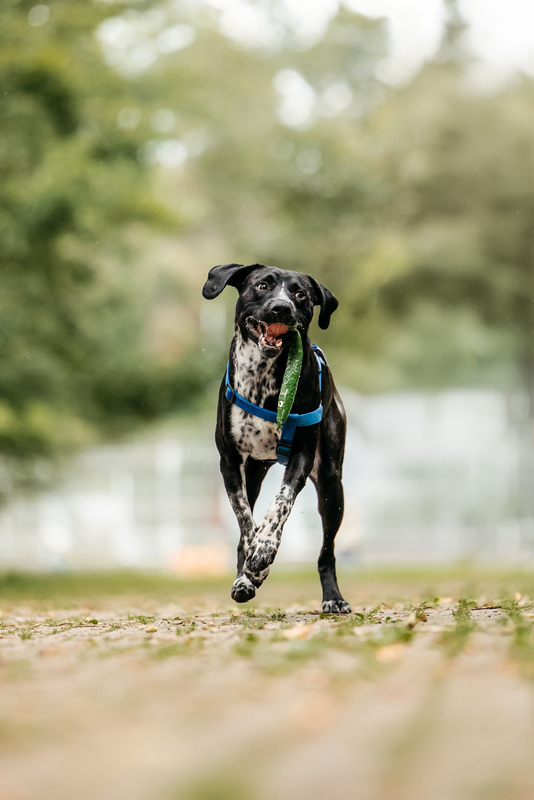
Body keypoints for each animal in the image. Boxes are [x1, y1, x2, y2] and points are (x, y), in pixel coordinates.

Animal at [202, 262, 352, 612]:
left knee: (327, 552)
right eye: (262, 285)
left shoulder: (301, 457)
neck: (263, 376)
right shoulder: (230, 463)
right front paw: (253, 564)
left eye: (300, 294)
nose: (280, 308)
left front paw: (265, 548)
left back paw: (333, 598)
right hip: (254, 473)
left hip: (331, 485)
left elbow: (281, 503)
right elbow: (245, 518)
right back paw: (244, 579)